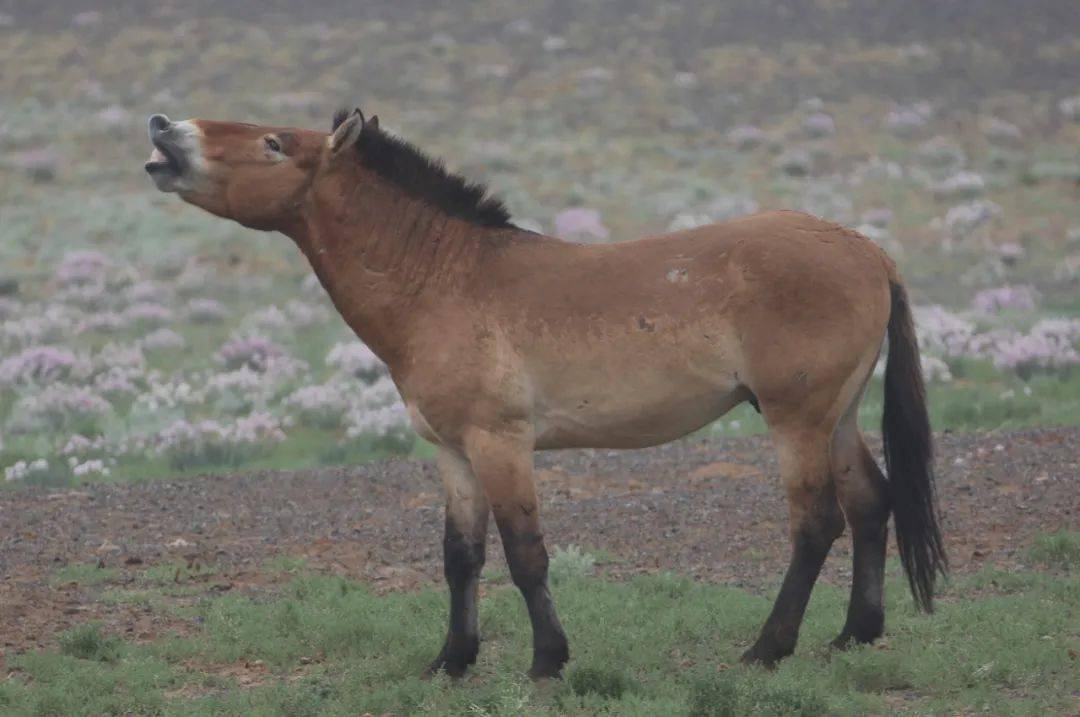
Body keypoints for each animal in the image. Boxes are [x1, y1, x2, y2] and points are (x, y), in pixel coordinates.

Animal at [145, 107, 946, 678]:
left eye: (274, 143)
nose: (163, 129)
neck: (444, 281)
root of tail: (866, 250)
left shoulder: (502, 443)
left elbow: (525, 552)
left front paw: (547, 661)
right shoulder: (453, 453)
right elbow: (460, 556)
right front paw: (451, 661)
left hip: (796, 420)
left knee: (816, 523)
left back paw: (767, 649)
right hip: (834, 416)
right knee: (870, 503)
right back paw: (853, 635)